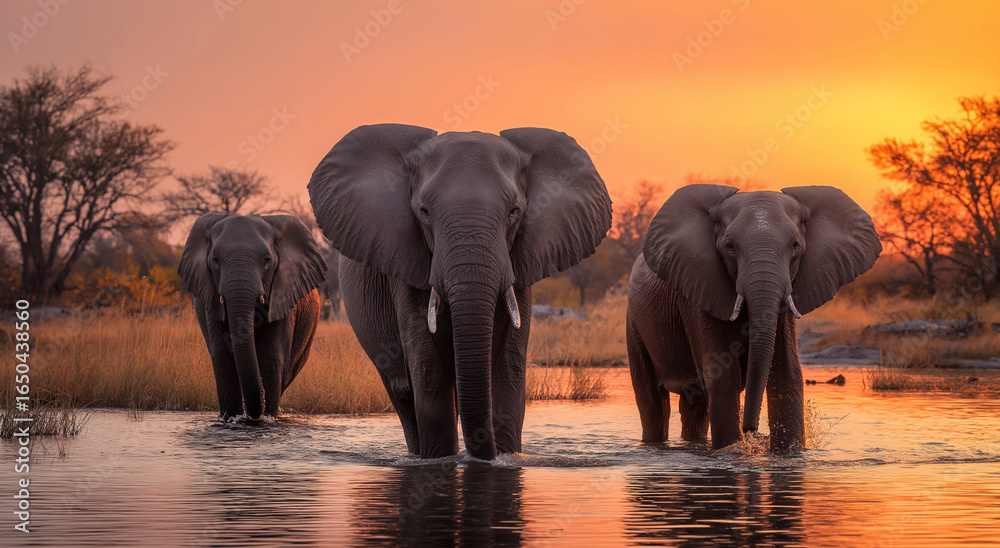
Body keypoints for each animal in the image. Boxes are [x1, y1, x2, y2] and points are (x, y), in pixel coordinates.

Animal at [178, 213, 326, 421]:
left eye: (266, 260)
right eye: (215, 260)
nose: (253, 413)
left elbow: (271, 357)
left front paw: (264, 419)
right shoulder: (211, 298)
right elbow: (222, 357)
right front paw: (231, 419)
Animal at [308, 124, 612, 460]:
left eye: (514, 211)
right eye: (424, 212)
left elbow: (508, 373)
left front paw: (504, 458)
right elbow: (429, 376)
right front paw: (444, 460)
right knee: (403, 394)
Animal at [627, 185, 881, 452]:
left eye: (795, 245)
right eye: (729, 247)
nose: (750, 430)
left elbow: (787, 371)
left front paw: (789, 452)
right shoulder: (697, 290)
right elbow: (723, 375)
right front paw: (732, 449)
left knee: (693, 405)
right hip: (634, 324)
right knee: (652, 403)